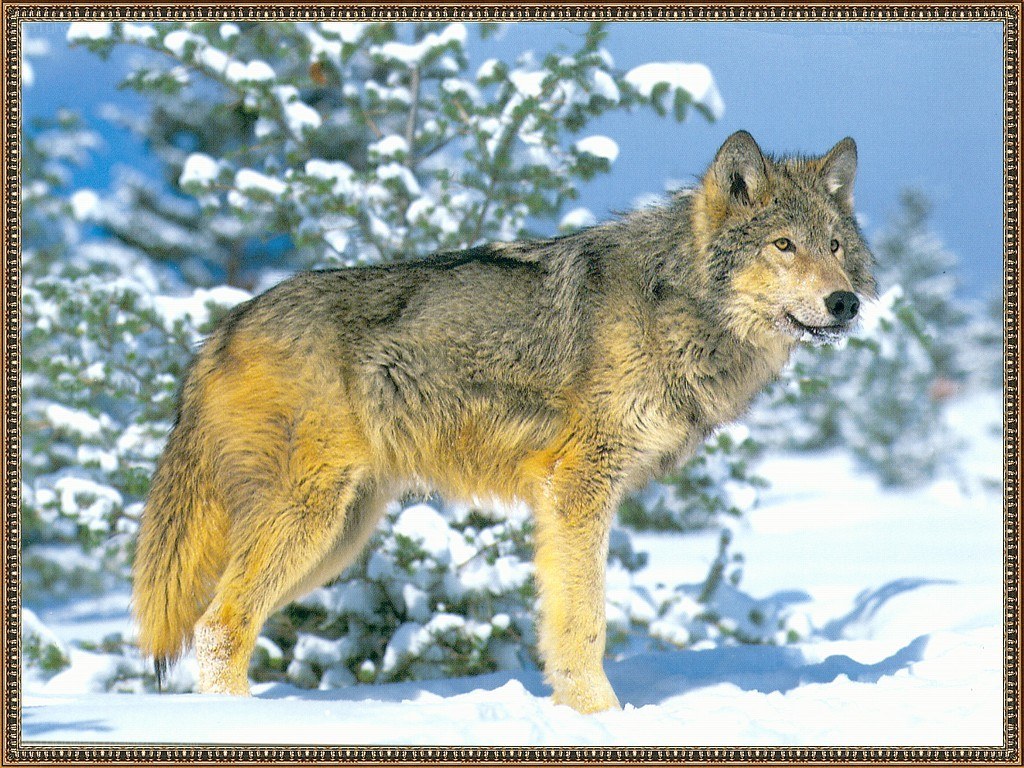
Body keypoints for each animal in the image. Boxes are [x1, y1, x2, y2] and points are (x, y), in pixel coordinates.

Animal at [133, 131, 875, 713]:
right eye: (784, 245)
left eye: (837, 246)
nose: (846, 303)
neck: (673, 305)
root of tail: (222, 327)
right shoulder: (577, 487)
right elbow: (584, 621)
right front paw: (600, 717)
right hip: (309, 521)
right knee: (220, 626)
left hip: (339, 538)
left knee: (220, 623)